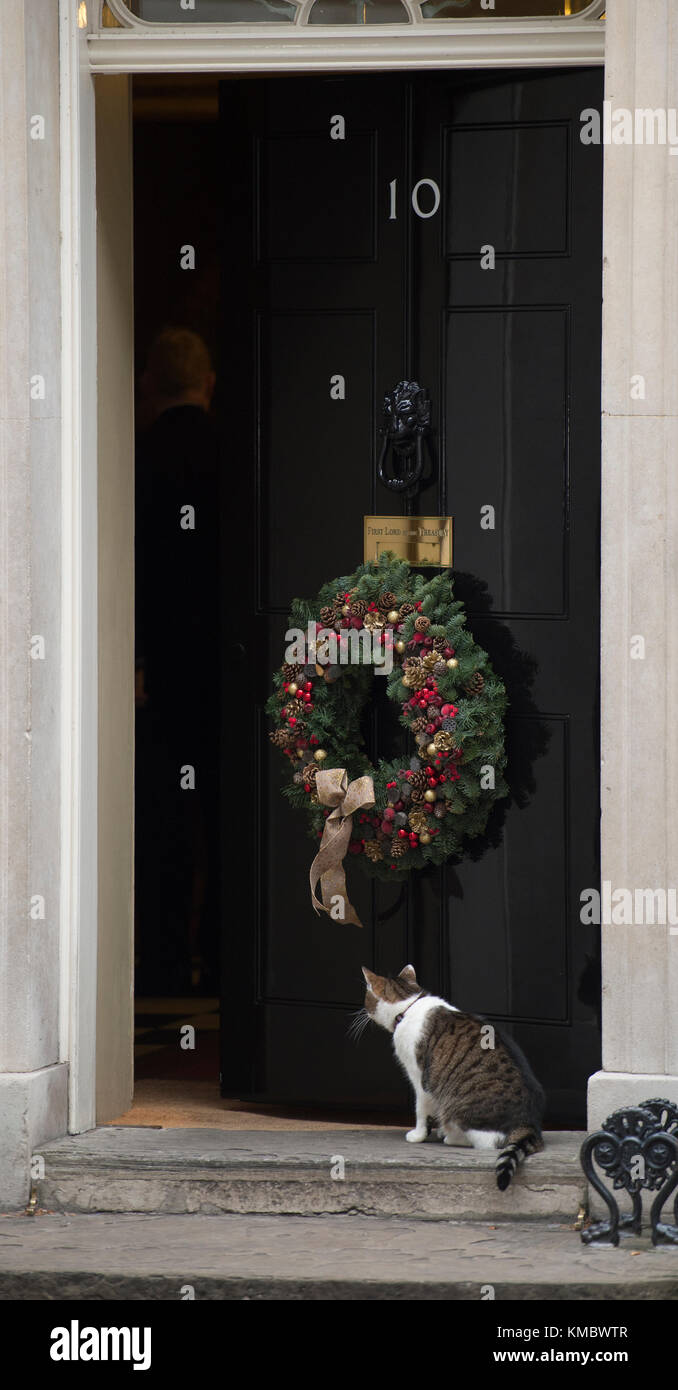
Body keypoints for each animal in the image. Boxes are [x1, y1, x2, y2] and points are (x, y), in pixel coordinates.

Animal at [361, 967, 544, 1184]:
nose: (363, 1012)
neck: (409, 1005)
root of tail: (527, 1123)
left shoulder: (420, 1079)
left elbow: (420, 1110)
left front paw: (418, 1134)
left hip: (459, 1107)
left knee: (486, 1142)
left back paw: (452, 1137)